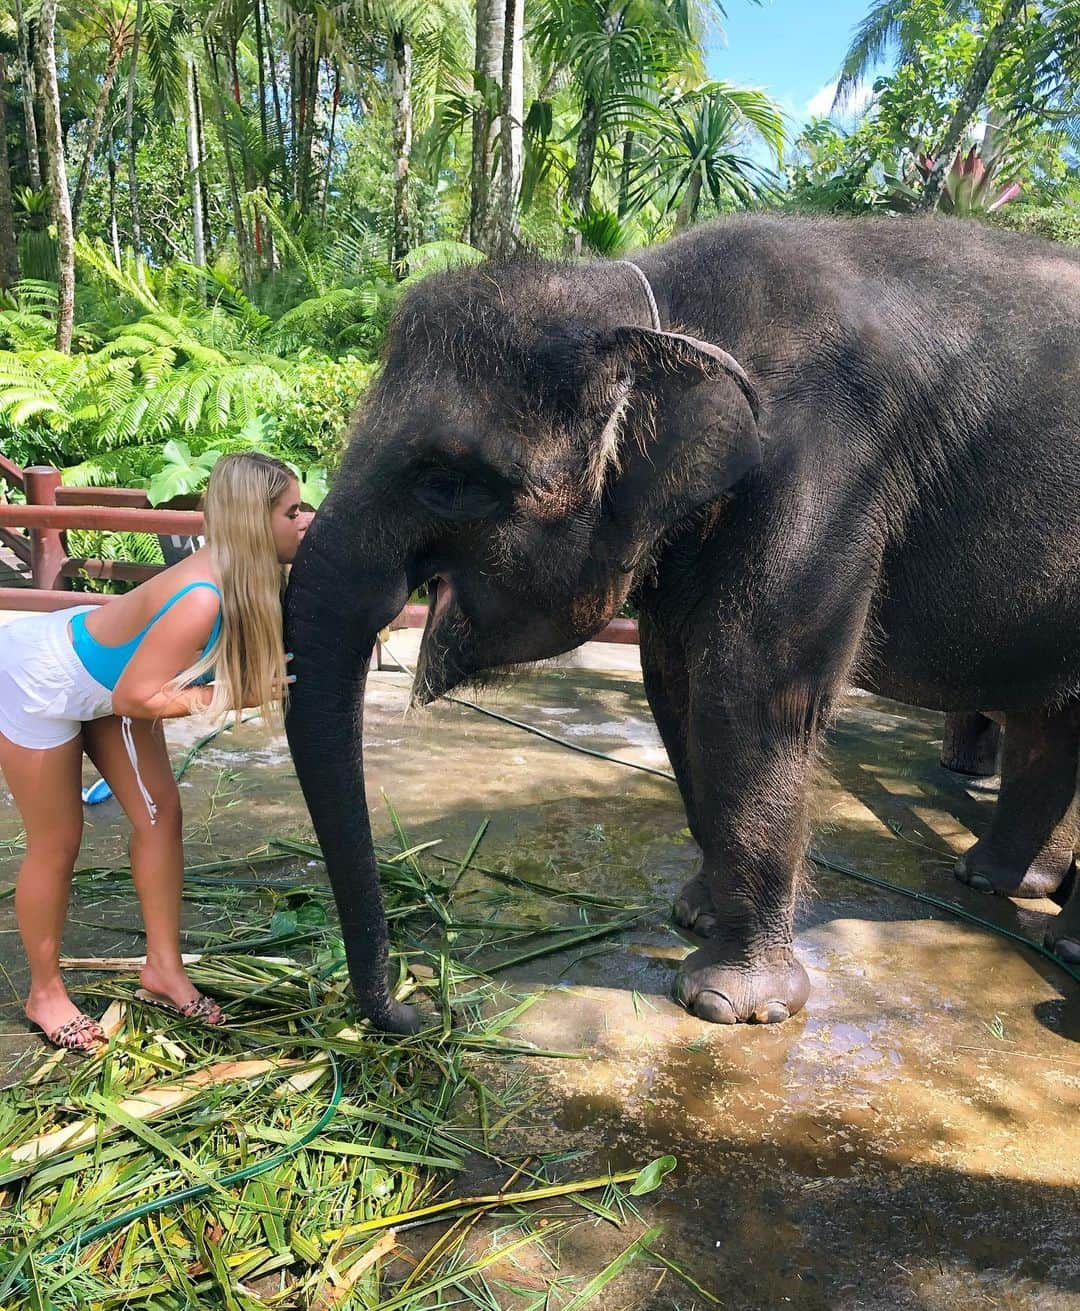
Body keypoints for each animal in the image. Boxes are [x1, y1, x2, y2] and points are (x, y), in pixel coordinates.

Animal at [284, 217, 1080, 1033]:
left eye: (448, 481)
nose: (416, 1008)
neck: (652, 299)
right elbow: (672, 674)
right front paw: (696, 914)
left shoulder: (828, 468)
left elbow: (754, 686)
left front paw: (729, 1003)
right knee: (1054, 718)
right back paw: (994, 880)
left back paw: (1058, 939)